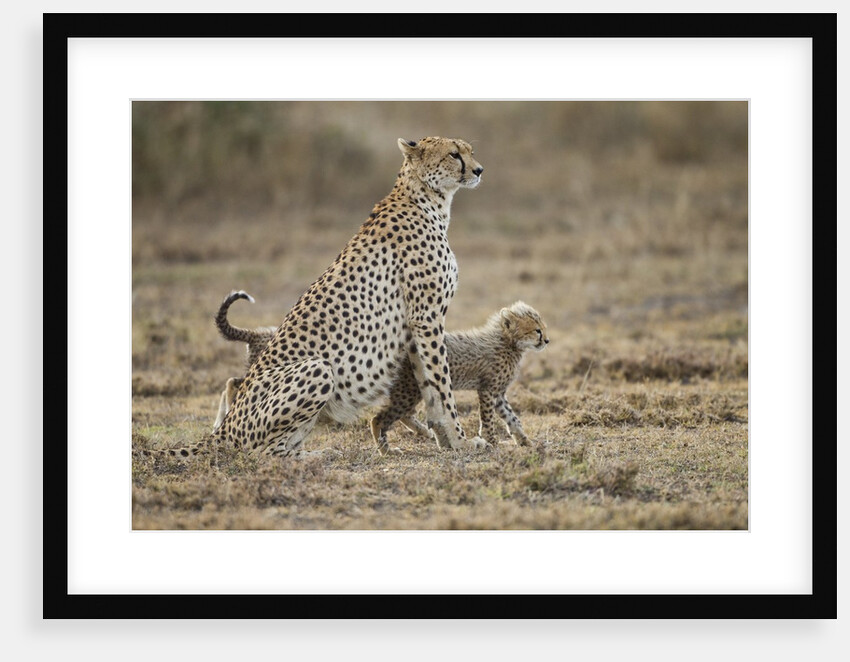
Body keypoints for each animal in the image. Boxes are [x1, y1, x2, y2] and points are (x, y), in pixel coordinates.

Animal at [142, 136, 488, 460]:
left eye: (470, 151)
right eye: (454, 154)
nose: (479, 170)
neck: (427, 199)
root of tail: (224, 430)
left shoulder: (417, 326)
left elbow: (430, 385)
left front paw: (446, 440)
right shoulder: (427, 317)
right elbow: (442, 384)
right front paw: (461, 440)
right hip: (318, 369)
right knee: (261, 453)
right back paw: (319, 455)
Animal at [370, 301, 549, 455]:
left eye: (543, 329)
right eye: (537, 330)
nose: (547, 340)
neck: (508, 342)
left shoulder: (498, 394)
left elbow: (513, 418)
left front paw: (525, 440)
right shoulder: (487, 390)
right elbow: (488, 419)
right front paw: (492, 442)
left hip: (413, 391)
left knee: (404, 414)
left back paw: (425, 431)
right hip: (409, 391)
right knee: (377, 419)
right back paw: (386, 451)